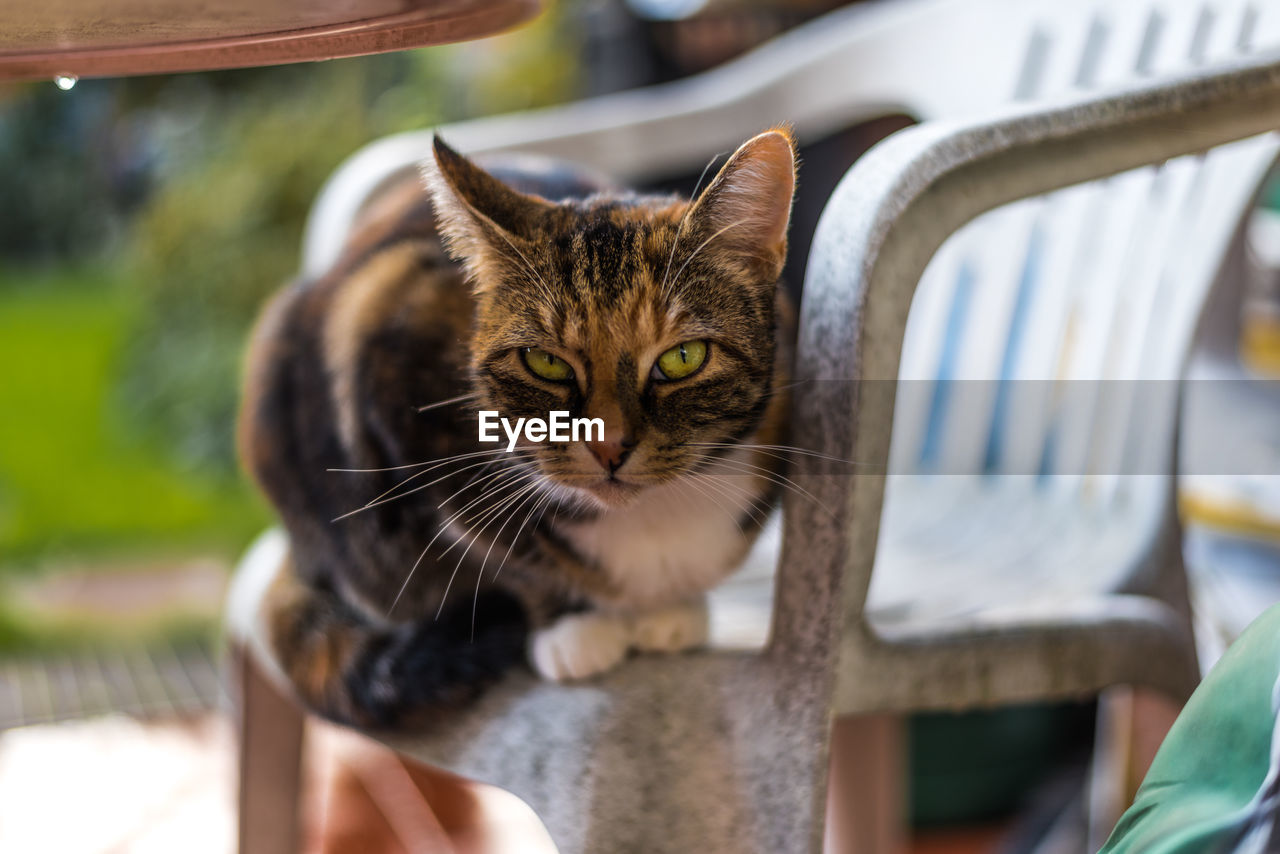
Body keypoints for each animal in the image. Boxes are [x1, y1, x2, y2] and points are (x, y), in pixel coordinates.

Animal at [239, 126, 793, 727]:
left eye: (683, 358)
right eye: (545, 362)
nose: (608, 447)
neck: (652, 520)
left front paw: (670, 610)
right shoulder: (392, 378)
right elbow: (499, 551)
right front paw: (574, 626)